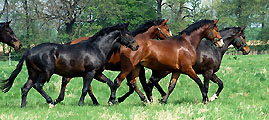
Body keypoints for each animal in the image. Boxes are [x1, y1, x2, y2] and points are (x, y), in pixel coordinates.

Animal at [2, 23, 139, 108]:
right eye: (127, 34)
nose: (136, 46)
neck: (96, 48)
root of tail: (28, 51)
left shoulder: (97, 73)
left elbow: (111, 83)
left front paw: (112, 100)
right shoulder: (90, 73)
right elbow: (85, 89)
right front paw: (80, 104)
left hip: (33, 73)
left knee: (25, 88)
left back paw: (23, 106)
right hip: (46, 72)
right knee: (38, 86)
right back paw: (50, 101)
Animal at [117, 26, 249, 103]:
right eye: (243, 36)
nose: (247, 50)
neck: (214, 49)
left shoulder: (211, 73)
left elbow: (221, 84)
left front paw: (213, 97)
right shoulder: (208, 72)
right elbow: (205, 86)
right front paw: (206, 99)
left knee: (147, 83)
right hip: (162, 71)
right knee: (149, 82)